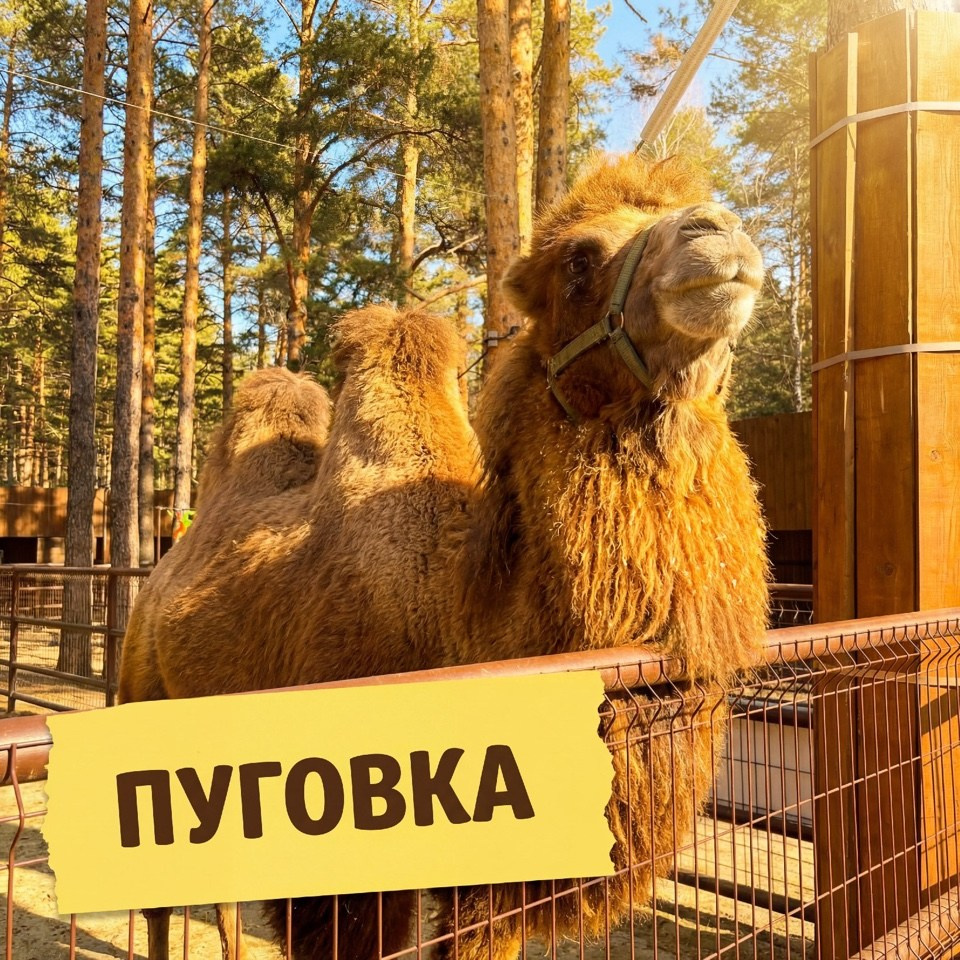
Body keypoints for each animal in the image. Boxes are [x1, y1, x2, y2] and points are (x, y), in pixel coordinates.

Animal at [117, 152, 769, 960]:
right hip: (142, 693)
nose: (720, 231)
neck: (461, 621)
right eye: (578, 259)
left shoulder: (489, 880)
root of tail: (156, 577)